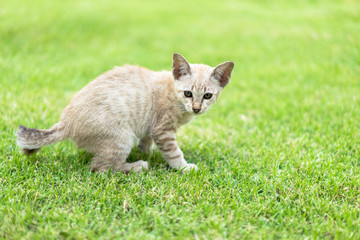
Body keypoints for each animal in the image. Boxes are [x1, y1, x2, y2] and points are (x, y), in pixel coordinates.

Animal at [16, 53, 235, 172]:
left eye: (207, 95)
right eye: (188, 93)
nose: (196, 108)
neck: (173, 92)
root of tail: (66, 122)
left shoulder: (150, 127)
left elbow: (146, 140)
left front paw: (147, 151)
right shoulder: (163, 130)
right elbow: (174, 152)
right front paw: (183, 167)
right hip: (121, 139)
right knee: (101, 168)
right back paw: (136, 166)